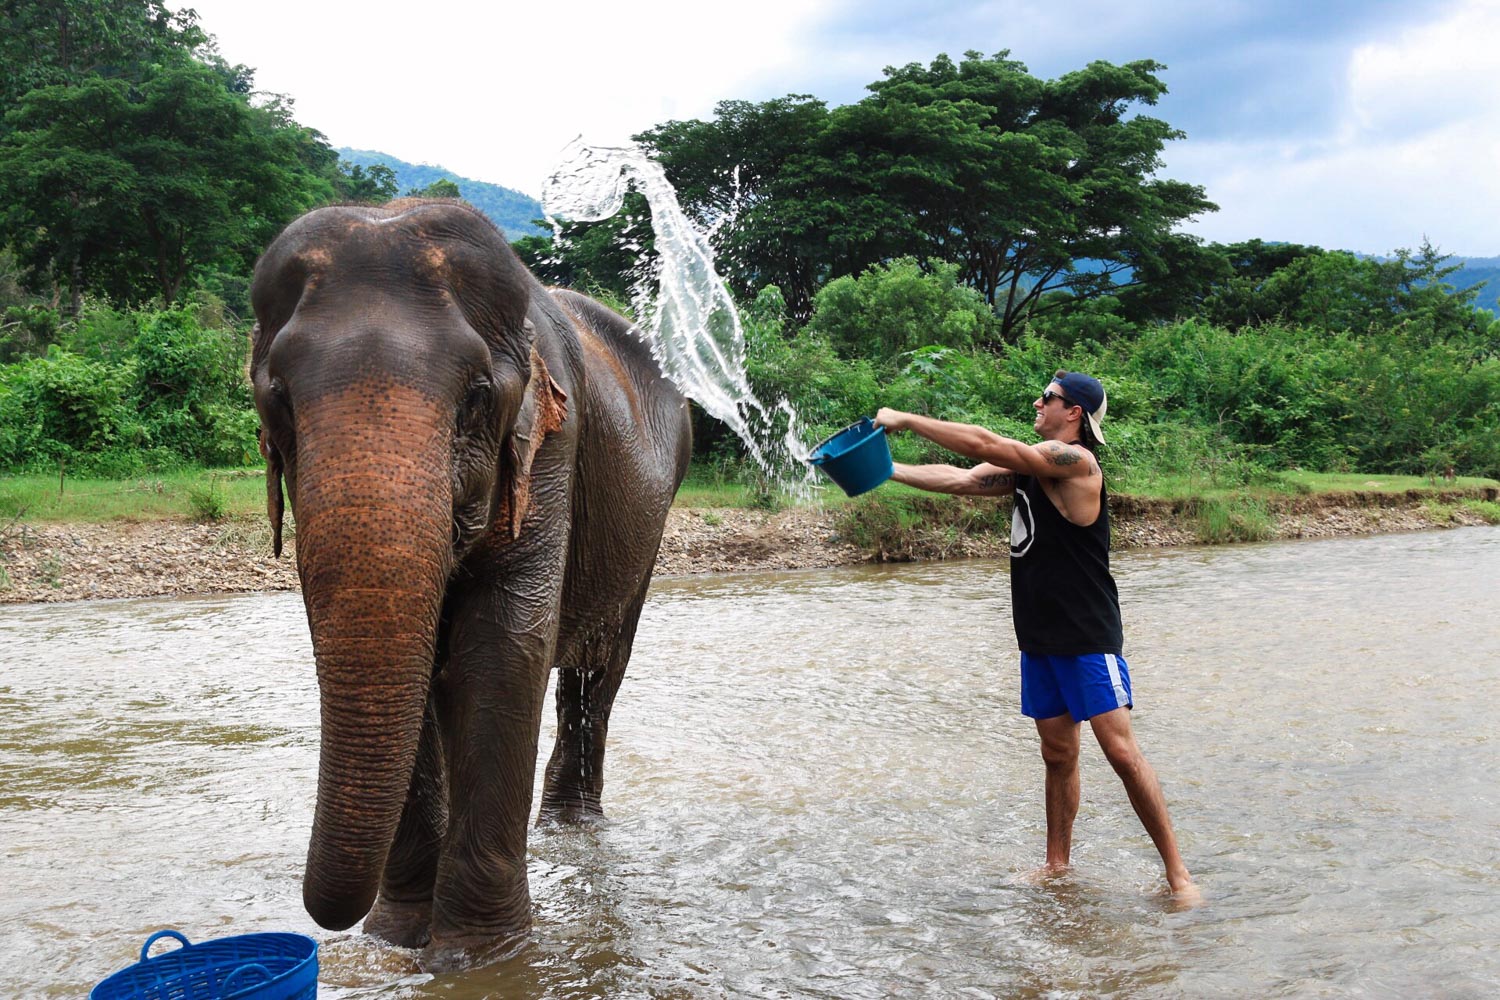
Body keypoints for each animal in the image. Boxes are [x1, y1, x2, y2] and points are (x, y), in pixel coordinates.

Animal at [250, 199, 690, 965]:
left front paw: (477, 959)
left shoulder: (554, 445)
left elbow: (502, 649)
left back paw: (571, 829)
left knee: (599, 671)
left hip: (651, 523)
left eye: (477, 396)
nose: (326, 922)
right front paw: (398, 940)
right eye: (277, 398)